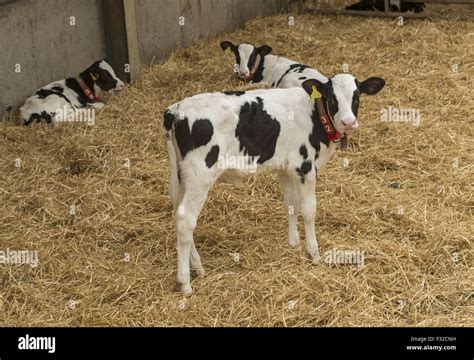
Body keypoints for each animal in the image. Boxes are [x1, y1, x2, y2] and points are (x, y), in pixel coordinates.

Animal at [163, 74, 386, 296]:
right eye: (331, 97)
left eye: (357, 96)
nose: (348, 122)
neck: (314, 113)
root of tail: (177, 109)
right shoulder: (305, 167)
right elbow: (308, 210)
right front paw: (313, 253)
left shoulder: (286, 168)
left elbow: (291, 204)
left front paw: (294, 243)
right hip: (200, 175)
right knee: (186, 220)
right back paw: (186, 283)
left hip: (181, 176)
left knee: (178, 214)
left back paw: (196, 267)